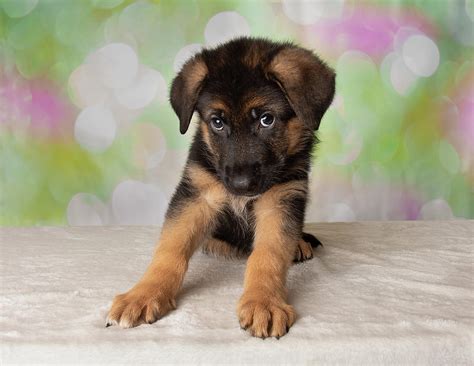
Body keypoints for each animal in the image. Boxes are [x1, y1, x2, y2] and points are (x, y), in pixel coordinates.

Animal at [105, 36, 336, 338]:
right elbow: (170, 249)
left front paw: (263, 301)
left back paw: (297, 243)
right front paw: (144, 294)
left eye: (267, 119)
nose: (240, 185)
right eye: (217, 122)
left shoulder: (281, 199)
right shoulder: (196, 195)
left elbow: (268, 254)